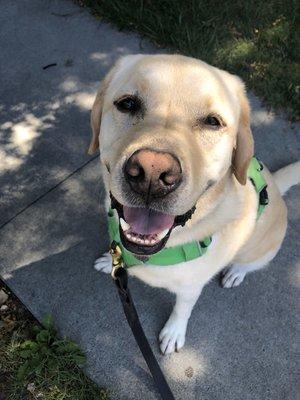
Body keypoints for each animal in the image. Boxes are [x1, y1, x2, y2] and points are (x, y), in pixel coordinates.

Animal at [89, 54, 300, 354]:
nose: (152, 174)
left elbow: (183, 309)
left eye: (213, 122)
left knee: (249, 264)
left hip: (261, 251)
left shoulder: (191, 287)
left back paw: (236, 272)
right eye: (127, 104)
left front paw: (173, 332)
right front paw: (109, 261)